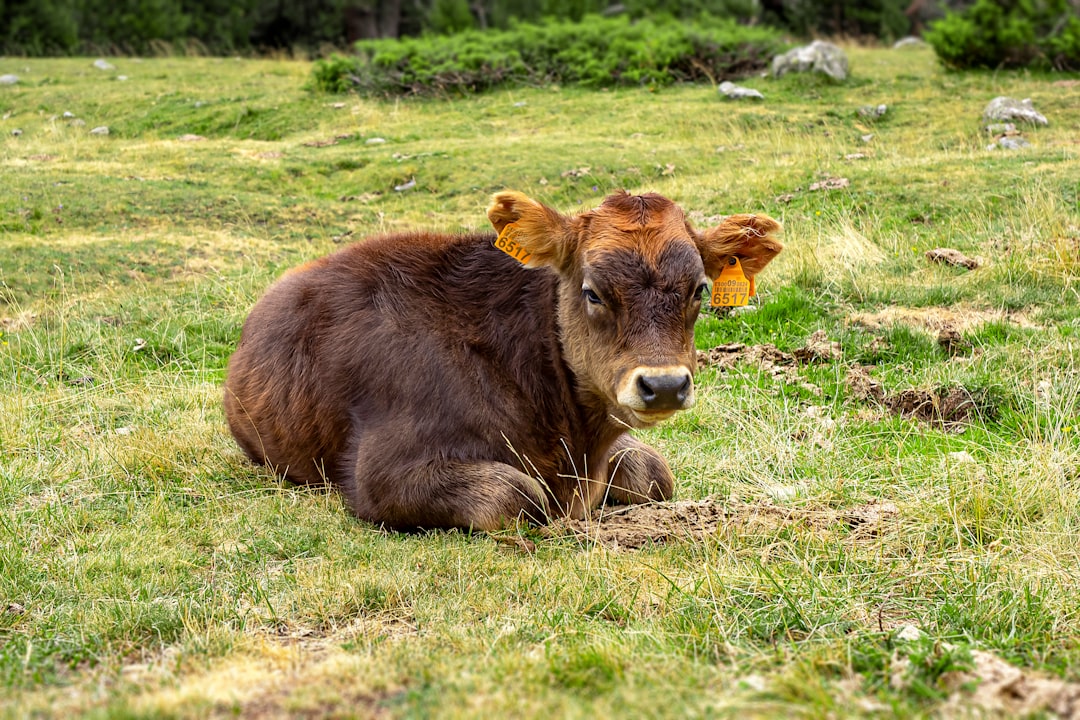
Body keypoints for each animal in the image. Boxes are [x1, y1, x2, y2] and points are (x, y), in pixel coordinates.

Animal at [225, 189, 786, 528]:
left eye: (699, 289)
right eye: (592, 292)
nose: (665, 385)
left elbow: (653, 472)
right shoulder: (382, 473)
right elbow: (519, 497)